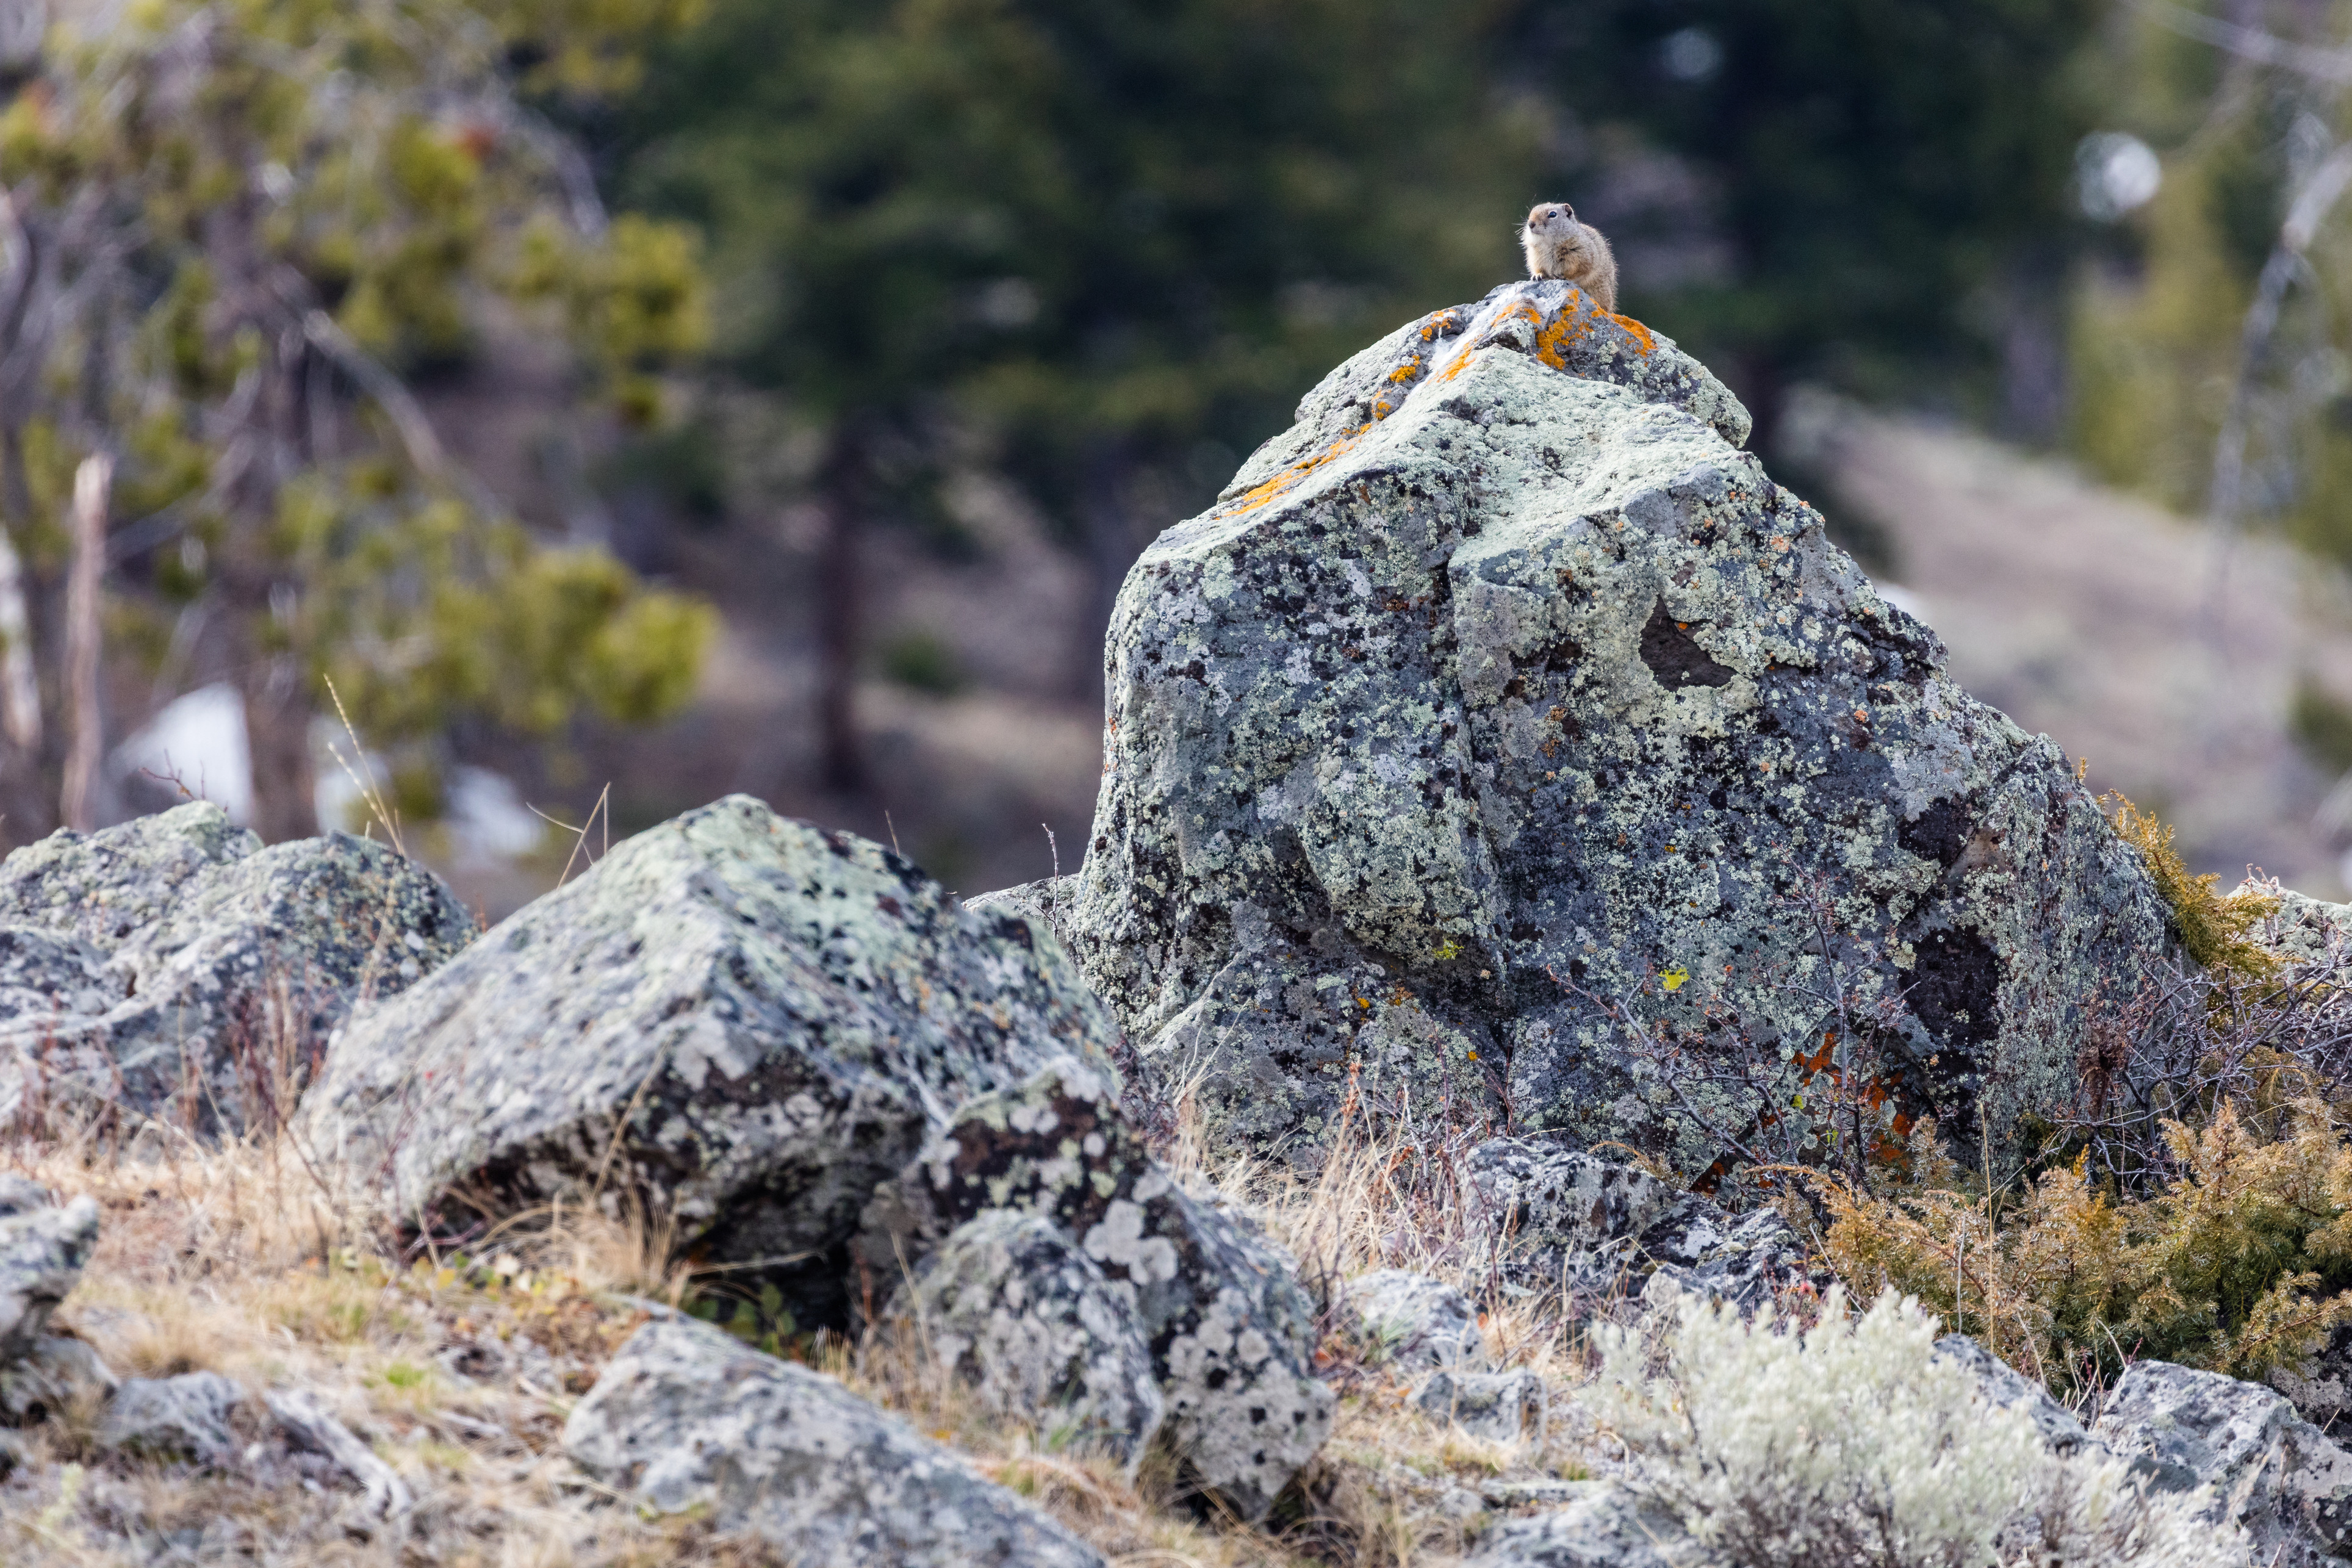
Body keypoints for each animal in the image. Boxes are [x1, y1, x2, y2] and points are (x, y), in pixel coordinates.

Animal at [1519, 202, 1618, 314]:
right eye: (1532, 212)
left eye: (1552, 214)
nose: (1531, 224)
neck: (1548, 244)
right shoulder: (1535, 258)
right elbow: (1538, 269)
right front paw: (1538, 276)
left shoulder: (1582, 257)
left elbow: (1579, 271)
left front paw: (1562, 276)